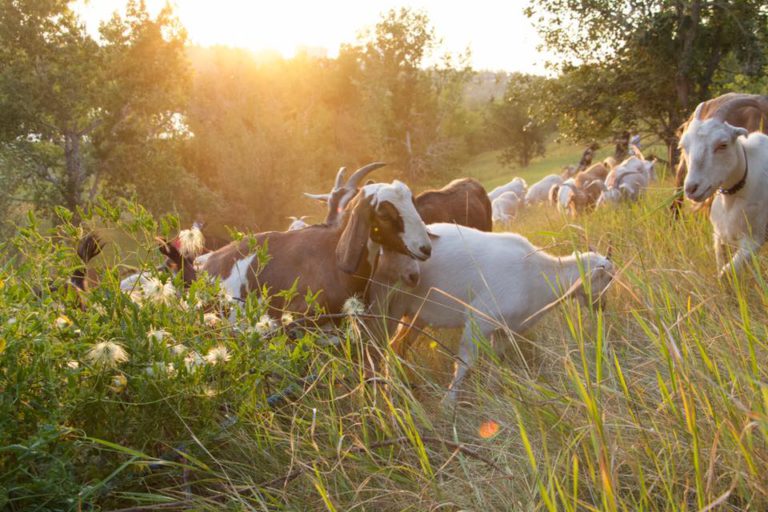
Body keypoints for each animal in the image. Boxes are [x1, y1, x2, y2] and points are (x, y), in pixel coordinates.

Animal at [368, 224, 616, 404]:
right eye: (608, 278)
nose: (602, 306)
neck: (537, 273)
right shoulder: (479, 320)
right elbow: (465, 363)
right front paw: (448, 404)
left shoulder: (505, 330)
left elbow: (498, 359)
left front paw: (494, 390)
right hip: (391, 306)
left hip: (416, 316)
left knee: (397, 346)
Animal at [680, 97, 768, 278]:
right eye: (684, 145)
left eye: (723, 144)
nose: (692, 188)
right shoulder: (719, 237)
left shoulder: (753, 240)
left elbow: (726, 273)